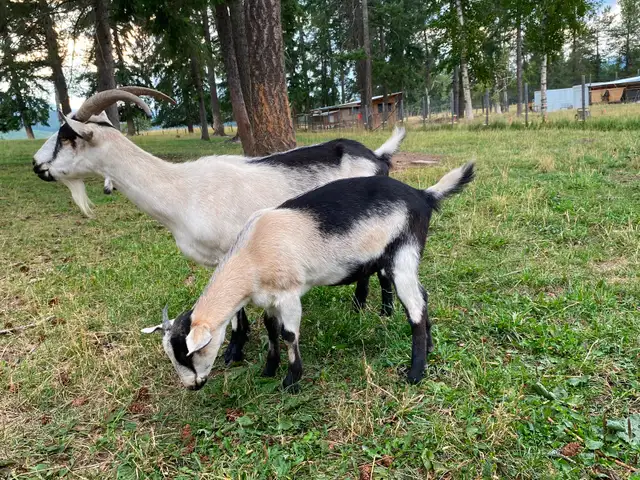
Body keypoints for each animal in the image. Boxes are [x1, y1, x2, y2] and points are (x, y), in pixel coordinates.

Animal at [31, 87, 406, 364]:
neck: (181, 191)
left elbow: (237, 312)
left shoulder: (232, 250)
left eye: (66, 137)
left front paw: (233, 352)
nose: (37, 165)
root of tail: (377, 158)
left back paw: (384, 311)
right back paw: (359, 306)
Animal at [143, 162, 475, 391]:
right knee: (423, 296)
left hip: (404, 251)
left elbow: (289, 335)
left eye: (189, 353)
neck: (251, 255)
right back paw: (429, 347)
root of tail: (423, 195)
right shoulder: (269, 298)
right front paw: (269, 369)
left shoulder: (289, 293)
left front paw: (291, 381)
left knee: (415, 307)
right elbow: (271, 329)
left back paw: (415, 373)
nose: (192, 386)